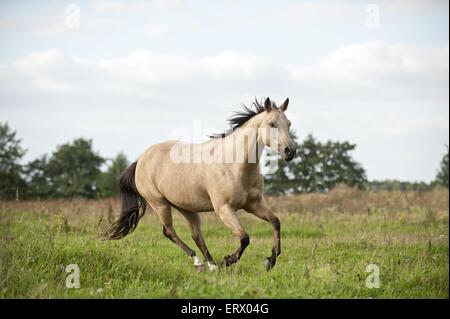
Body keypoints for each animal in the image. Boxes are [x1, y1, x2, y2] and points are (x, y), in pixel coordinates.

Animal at [105, 97, 296, 272]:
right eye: (272, 124)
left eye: (289, 124)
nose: (290, 151)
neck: (233, 164)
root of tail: (141, 160)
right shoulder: (224, 209)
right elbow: (244, 238)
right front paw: (228, 260)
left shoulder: (254, 204)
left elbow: (276, 222)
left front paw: (270, 260)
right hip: (159, 204)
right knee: (169, 232)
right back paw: (200, 263)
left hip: (186, 208)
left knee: (196, 235)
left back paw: (211, 265)